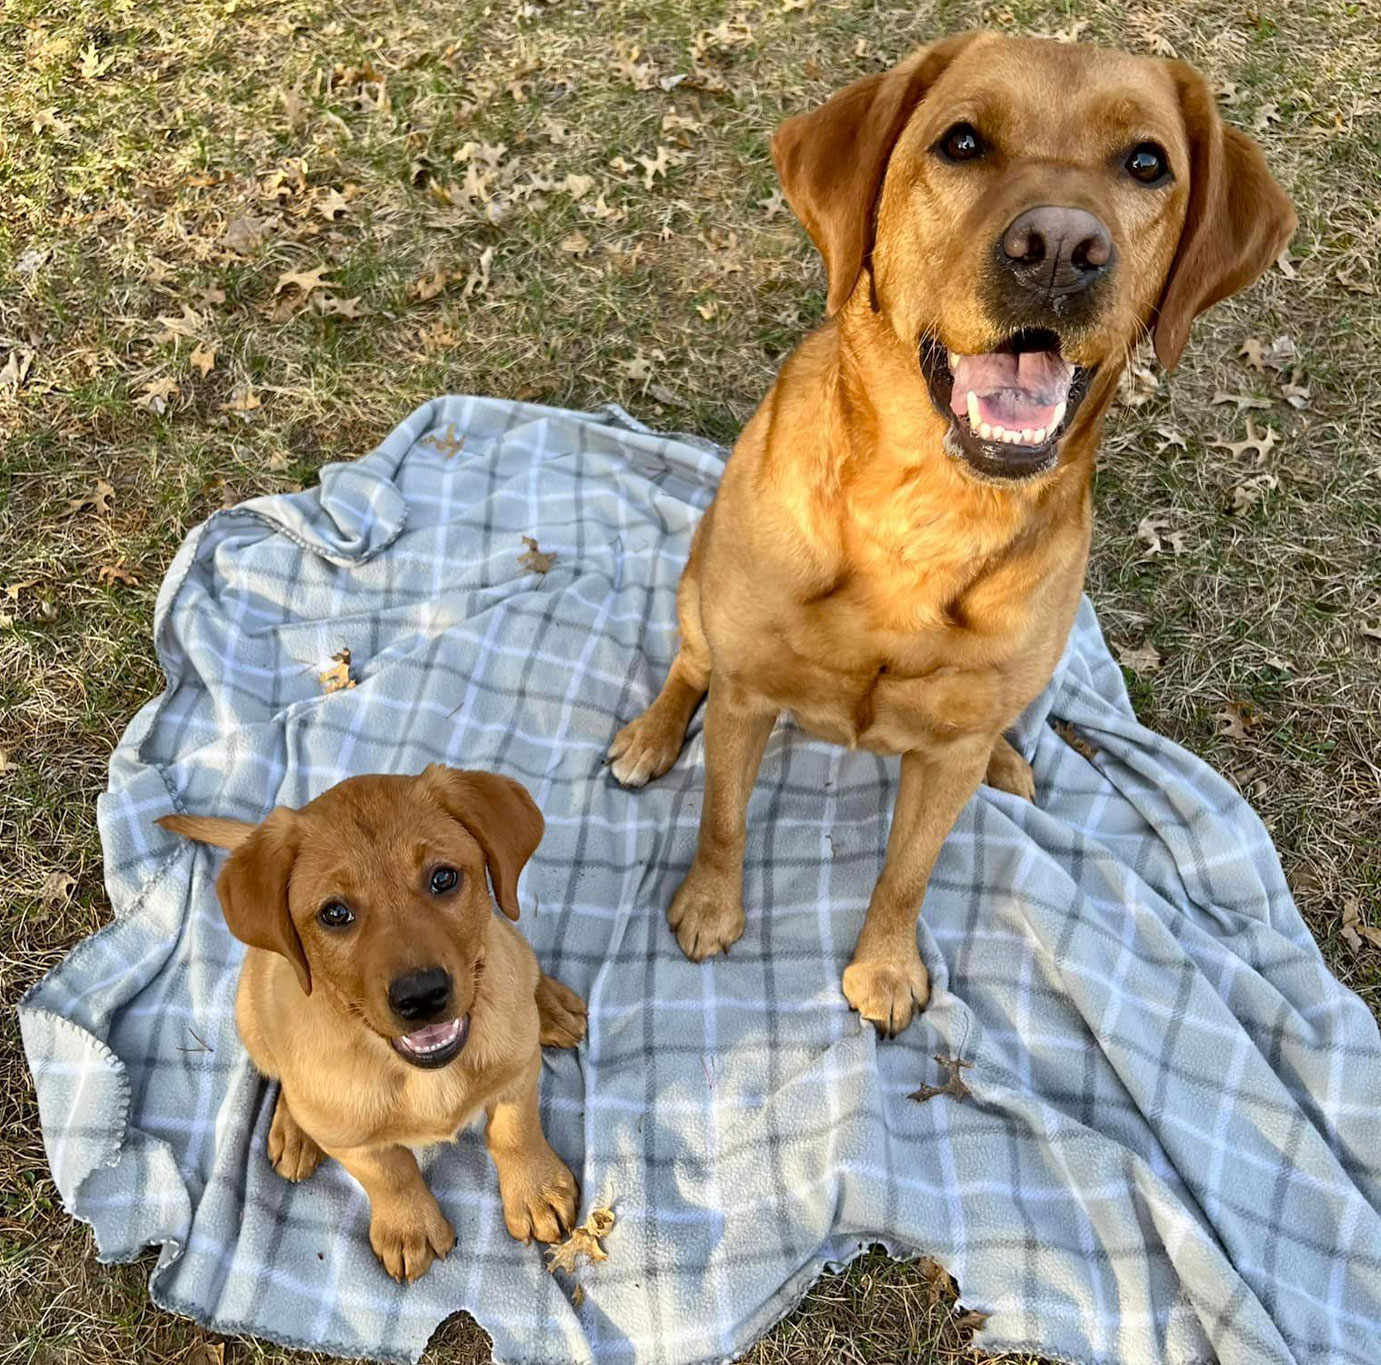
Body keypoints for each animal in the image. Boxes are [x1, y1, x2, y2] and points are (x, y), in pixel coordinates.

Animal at [158, 768, 585, 1282]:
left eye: (443, 877)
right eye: (335, 913)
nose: (421, 996)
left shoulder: (517, 1070)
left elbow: (515, 1130)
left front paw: (536, 1191)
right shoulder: (352, 1141)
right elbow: (390, 1172)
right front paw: (409, 1228)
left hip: (510, 946)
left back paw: (551, 1004)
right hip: (251, 1015)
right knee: (283, 1077)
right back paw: (294, 1131)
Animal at [607, 31, 1292, 1033]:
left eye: (1145, 163)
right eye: (961, 143)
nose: (1058, 250)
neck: (926, 512)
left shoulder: (946, 760)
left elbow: (908, 871)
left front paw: (886, 968)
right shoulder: (746, 696)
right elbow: (722, 817)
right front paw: (707, 907)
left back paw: (1009, 759)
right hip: (697, 585)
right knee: (689, 661)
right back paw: (651, 735)